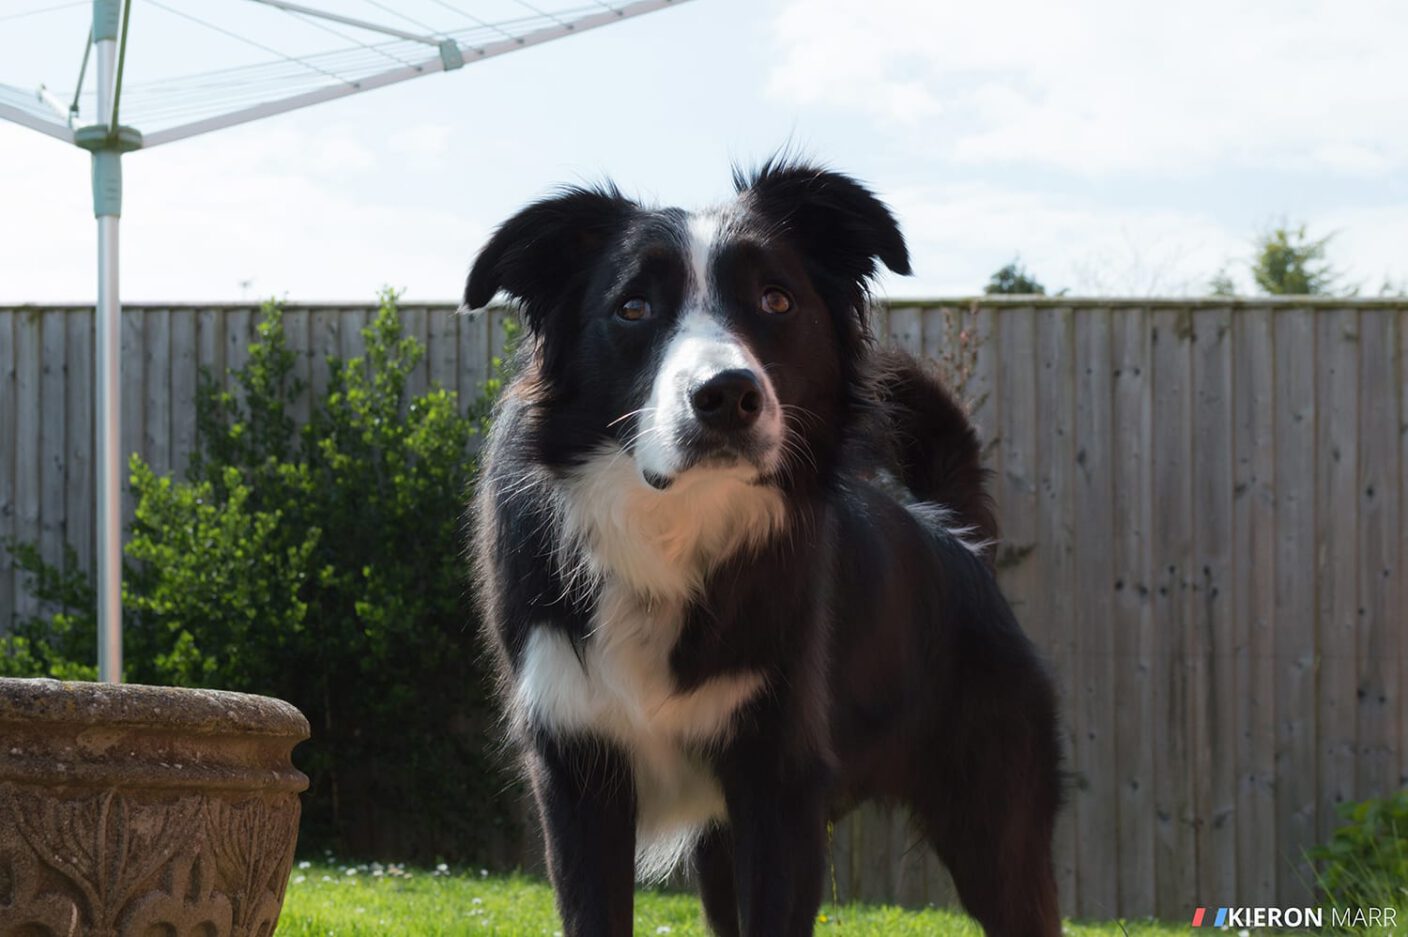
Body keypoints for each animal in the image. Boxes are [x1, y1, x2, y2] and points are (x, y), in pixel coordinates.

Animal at [467, 160, 1058, 935]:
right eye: (633, 307)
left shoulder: (781, 786)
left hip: (997, 822)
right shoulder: (577, 775)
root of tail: (956, 537)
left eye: (776, 300)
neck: (673, 524)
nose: (727, 396)